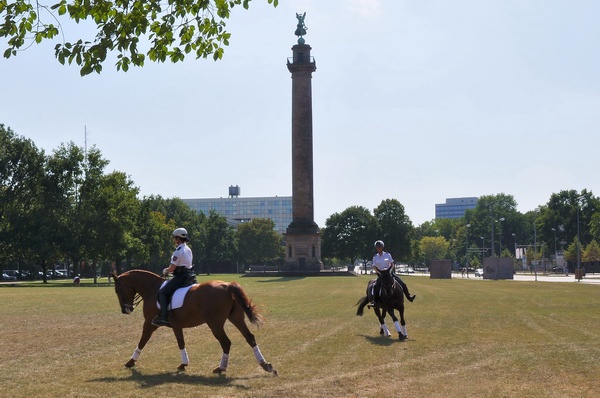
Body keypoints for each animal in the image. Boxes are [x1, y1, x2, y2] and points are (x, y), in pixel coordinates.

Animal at [112, 268, 276, 374]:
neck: (152, 289)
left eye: (117, 290)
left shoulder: (149, 323)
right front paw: (183, 364)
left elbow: (143, 340)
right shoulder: (176, 325)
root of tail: (227, 286)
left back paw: (221, 368)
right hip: (235, 318)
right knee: (249, 337)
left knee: (226, 342)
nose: (126, 310)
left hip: (215, 323)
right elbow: (181, 342)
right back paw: (265, 365)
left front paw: (131, 361)